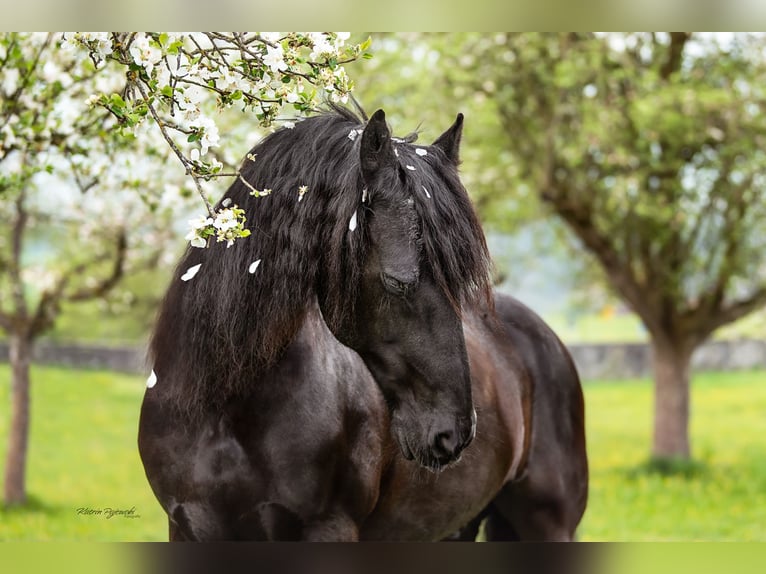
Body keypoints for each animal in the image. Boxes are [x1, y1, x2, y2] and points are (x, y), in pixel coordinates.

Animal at [138, 106, 588, 541]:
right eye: (398, 281)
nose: (454, 433)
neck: (224, 408)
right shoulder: (187, 528)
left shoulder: (328, 529)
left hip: (547, 525)